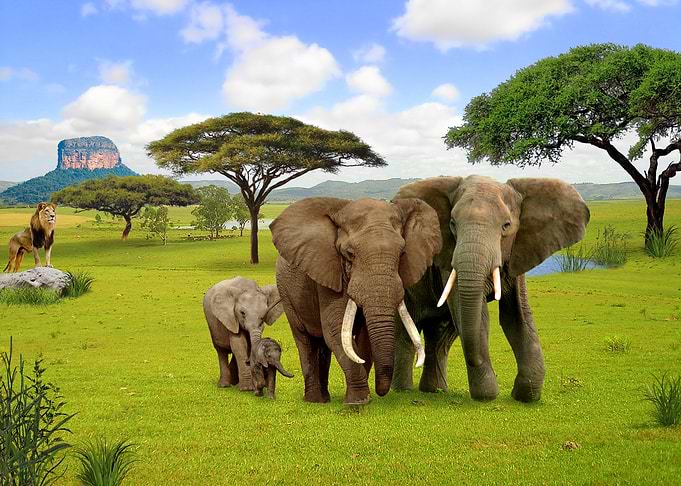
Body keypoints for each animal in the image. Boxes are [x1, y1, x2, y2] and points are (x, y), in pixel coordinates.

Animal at [270, 197, 442, 405]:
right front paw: (359, 401)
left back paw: (325, 398)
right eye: (350, 254)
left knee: (322, 345)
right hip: (286, 293)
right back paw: (314, 400)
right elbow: (335, 329)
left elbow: (364, 336)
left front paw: (363, 398)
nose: (381, 391)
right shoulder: (328, 271)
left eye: (402, 254)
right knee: (306, 340)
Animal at [391, 175, 590, 402]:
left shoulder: (518, 252)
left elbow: (517, 316)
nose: (475, 360)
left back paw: (434, 391)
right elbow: (476, 316)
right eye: (452, 224)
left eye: (506, 225)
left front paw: (525, 395)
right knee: (407, 331)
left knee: (441, 335)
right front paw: (487, 395)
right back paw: (403, 390)